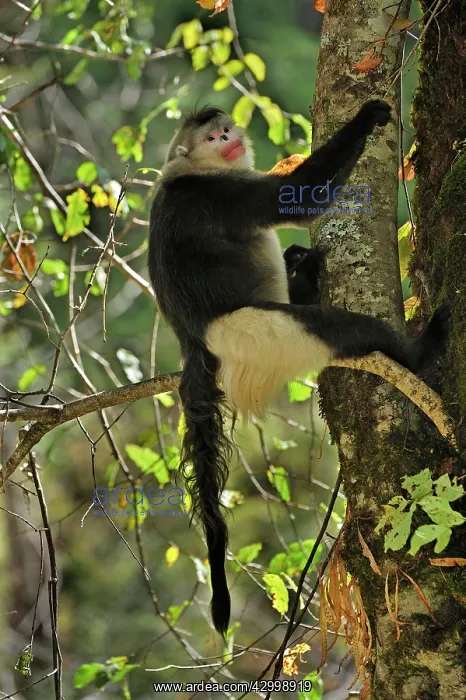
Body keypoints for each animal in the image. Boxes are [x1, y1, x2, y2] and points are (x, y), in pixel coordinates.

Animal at [148, 102, 449, 635]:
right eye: (214, 137)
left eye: (226, 131)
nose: (232, 139)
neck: (189, 171)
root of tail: (196, 344)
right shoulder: (219, 193)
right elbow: (296, 197)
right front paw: (368, 115)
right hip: (258, 336)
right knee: (330, 328)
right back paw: (416, 352)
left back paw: (305, 271)